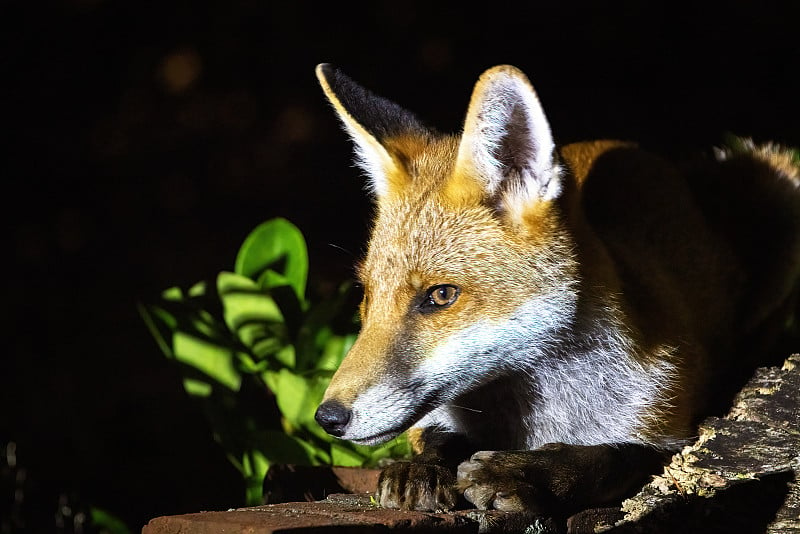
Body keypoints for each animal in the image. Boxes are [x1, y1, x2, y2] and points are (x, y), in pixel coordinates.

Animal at [310, 63, 800, 524]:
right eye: (366, 294)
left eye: (442, 295)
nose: (327, 417)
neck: (530, 415)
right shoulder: (436, 418)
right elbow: (438, 438)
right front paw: (425, 469)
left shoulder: (667, 426)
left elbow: (606, 458)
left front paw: (522, 475)